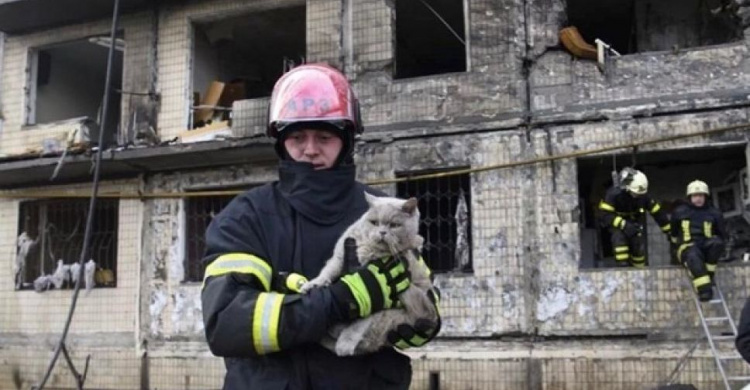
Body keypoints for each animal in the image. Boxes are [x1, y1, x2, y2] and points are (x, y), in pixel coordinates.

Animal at [300, 192, 440, 356]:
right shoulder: (339, 257)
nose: (382, 232)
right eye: (374, 222)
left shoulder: (378, 297)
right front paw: (312, 284)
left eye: (394, 225)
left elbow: (360, 323)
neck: (370, 248)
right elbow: (327, 272)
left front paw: (345, 343)